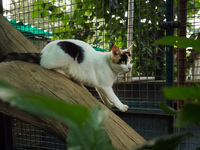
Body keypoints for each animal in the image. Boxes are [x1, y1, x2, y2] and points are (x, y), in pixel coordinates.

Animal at [1, 39, 134, 112]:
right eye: (123, 62)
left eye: (131, 61)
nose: (130, 68)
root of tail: (42, 52)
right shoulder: (106, 86)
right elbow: (113, 97)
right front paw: (121, 106)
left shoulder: (100, 85)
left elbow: (104, 96)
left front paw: (108, 104)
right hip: (69, 52)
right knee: (45, 65)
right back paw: (67, 74)